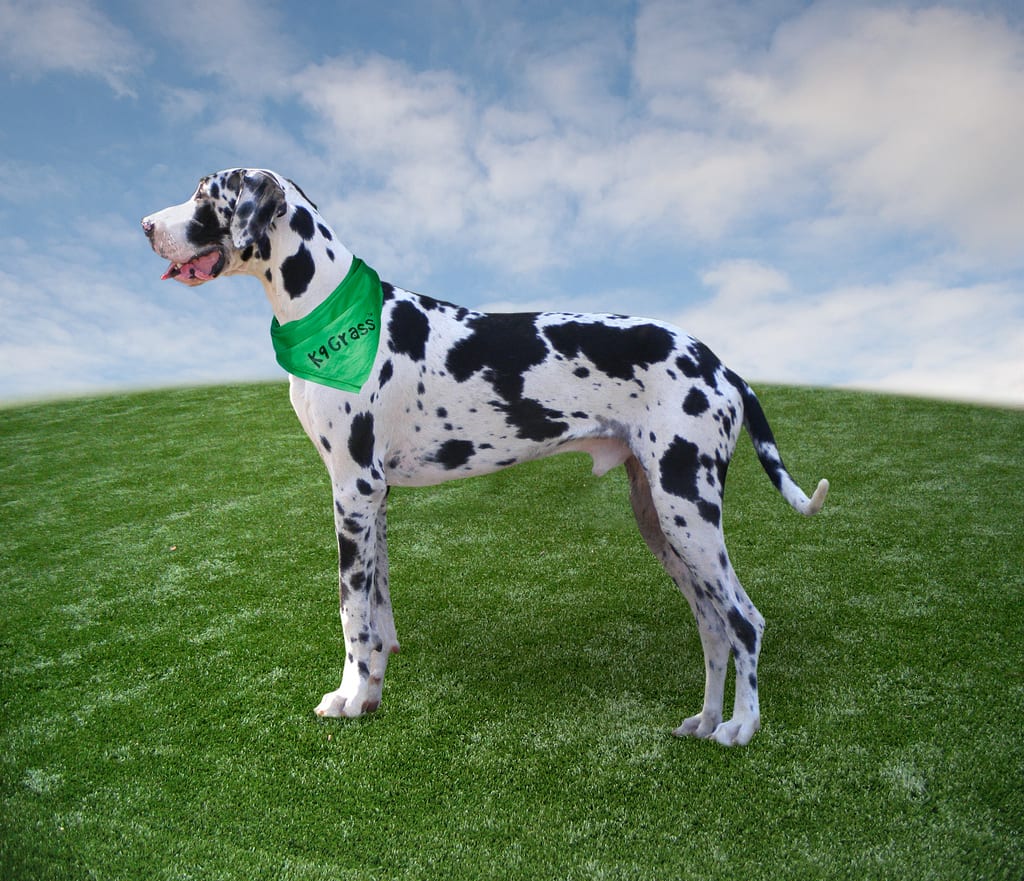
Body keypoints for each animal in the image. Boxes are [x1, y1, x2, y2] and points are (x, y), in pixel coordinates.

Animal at [144, 164, 827, 741]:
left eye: (206, 194)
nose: (146, 225)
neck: (326, 309)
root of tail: (721, 365)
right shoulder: (373, 497)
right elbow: (379, 609)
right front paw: (374, 688)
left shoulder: (351, 490)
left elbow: (350, 612)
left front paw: (349, 698)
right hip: (661, 518)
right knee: (713, 626)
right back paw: (706, 720)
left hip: (688, 508)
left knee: (745, 621)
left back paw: (741, 727)